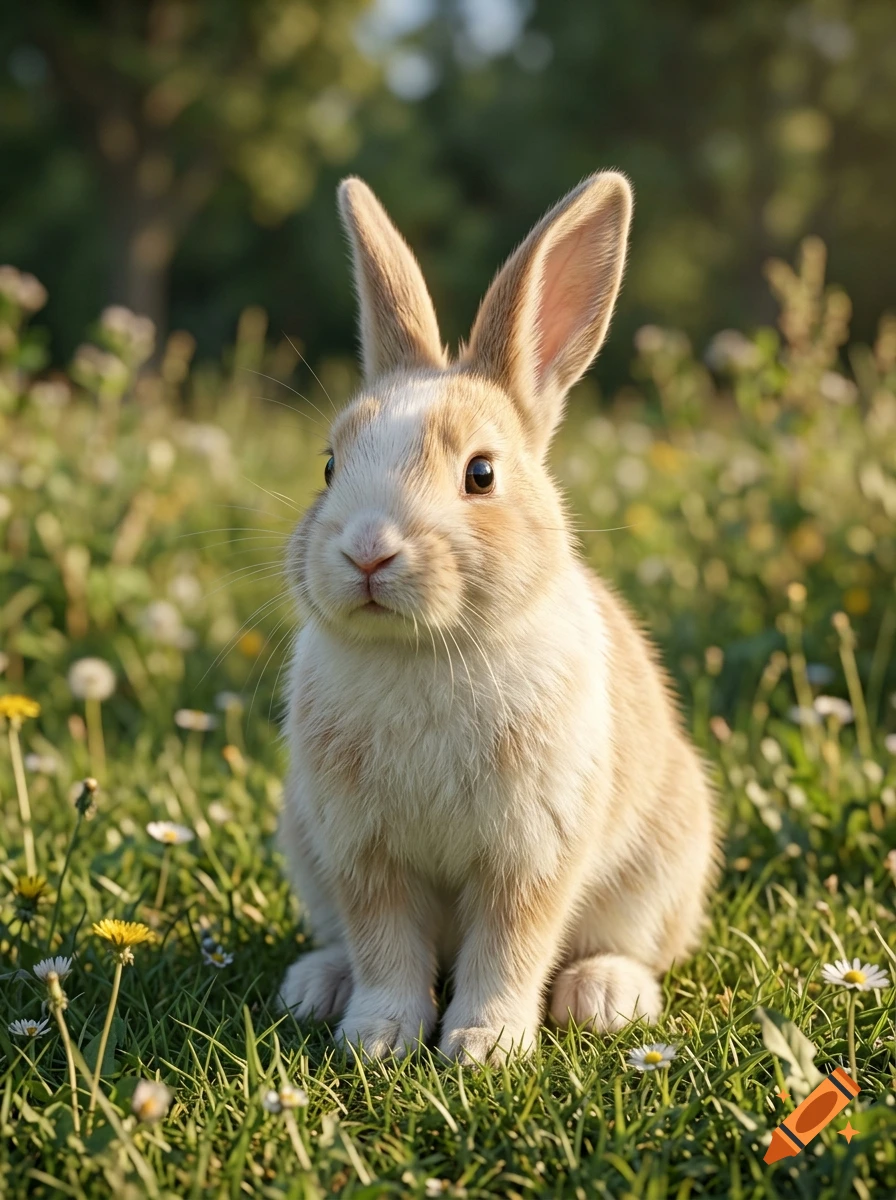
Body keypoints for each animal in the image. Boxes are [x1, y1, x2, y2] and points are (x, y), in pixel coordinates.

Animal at [277, 170, 718, 1064]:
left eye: (481, 474)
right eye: (330, 466)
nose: (367, 552)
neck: (424, 650)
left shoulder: (531, 854)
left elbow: (511, 945)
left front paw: (484, 1045)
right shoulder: (363, 856)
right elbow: (385, 949)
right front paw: (378, 1038)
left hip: (661, 868)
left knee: (626, 947)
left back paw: (603, 997)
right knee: (345, 943)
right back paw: (316, 986)